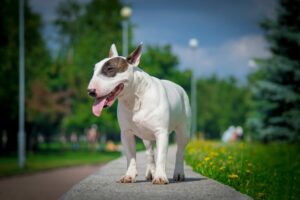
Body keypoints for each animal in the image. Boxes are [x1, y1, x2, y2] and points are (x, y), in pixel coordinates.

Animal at [87, 43, 190, 184]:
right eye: (94, 70)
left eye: (110, 69)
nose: (90, 91)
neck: (134, 98)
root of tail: (180, 88)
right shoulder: (126, 133)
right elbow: (130, 156)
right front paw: (129, 175)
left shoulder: (161, 132)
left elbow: (161, 156)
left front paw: (160, 177)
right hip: (146, 136)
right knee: (150, 153)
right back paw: (151, 173)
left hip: (183, 130)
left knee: (180, 151)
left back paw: (178, 173)